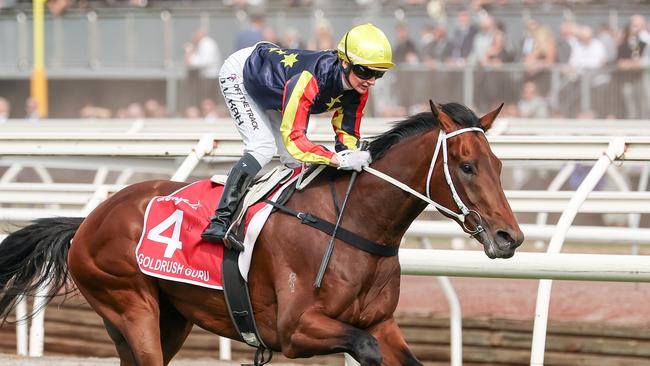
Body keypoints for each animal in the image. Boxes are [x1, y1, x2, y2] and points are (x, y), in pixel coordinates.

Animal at [0, 101, 520, 366]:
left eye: (498, 164)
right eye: (467, 166)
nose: (509, 237)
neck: (353, 225)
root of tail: (88, 220)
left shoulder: (381, 322)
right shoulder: (294, 330)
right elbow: (364, 349)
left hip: (169, 319)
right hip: (131, 305)